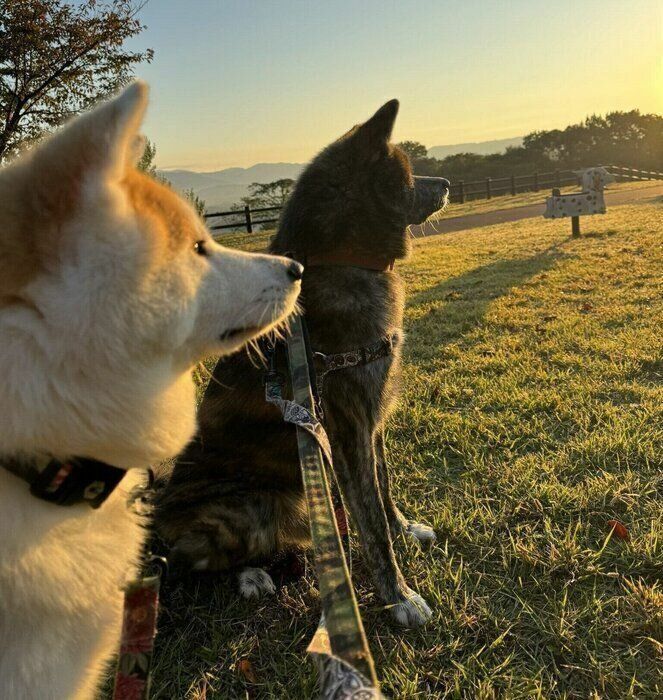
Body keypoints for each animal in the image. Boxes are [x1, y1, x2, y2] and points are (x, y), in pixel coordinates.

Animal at [153, 100, 448, 628]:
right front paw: (399, 596)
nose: (449, 183)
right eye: (410, 174)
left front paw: (405, 529)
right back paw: (250, 576)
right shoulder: (348, 428)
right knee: (183, 565)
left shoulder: (371, 422)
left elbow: (384, 487)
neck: (340, 259)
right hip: (247, 506)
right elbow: (370, 520)